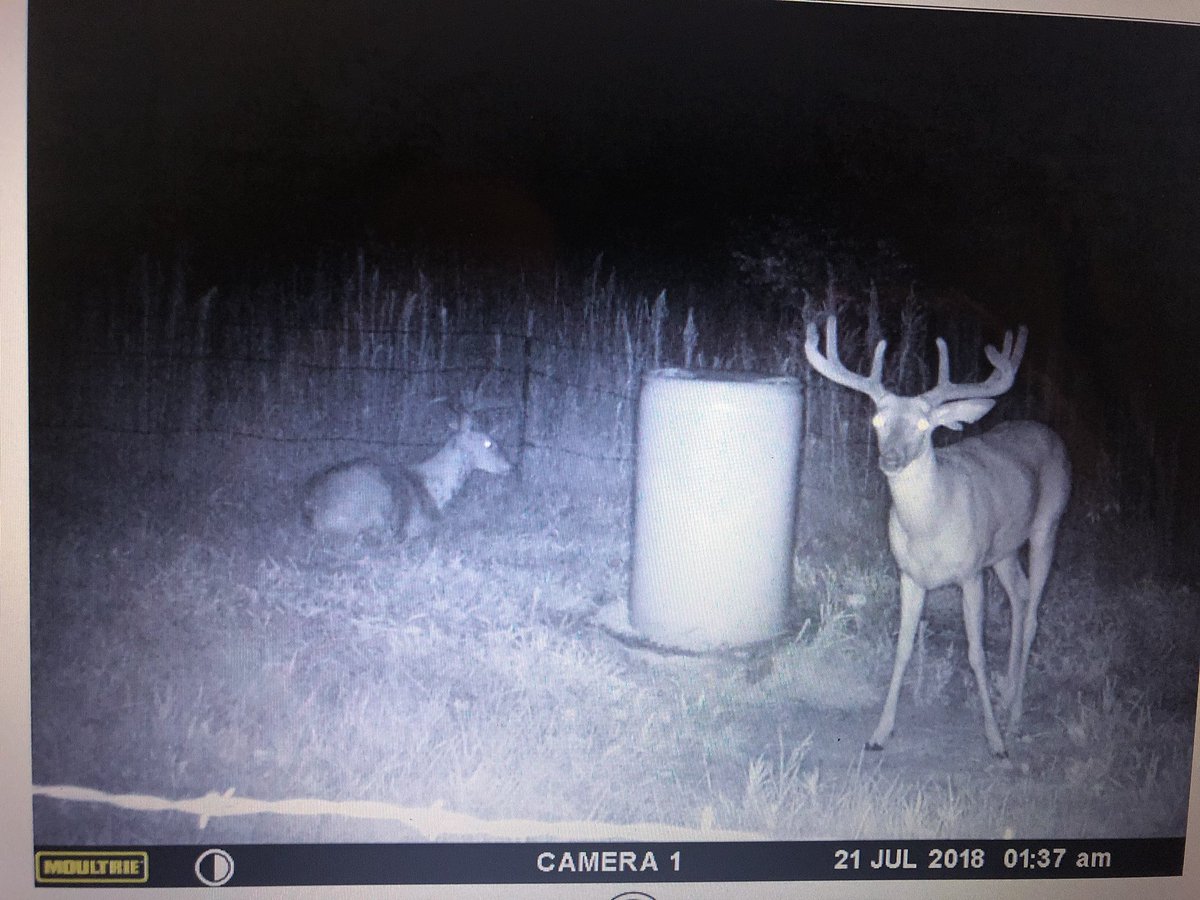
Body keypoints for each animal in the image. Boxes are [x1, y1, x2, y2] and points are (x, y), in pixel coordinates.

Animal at [805, 316, 1071, 758]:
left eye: (923, 424)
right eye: (877, 421)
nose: (891, 459)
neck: (929, 528)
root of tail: (1049, 433)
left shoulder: (970, 573)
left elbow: (976, 654)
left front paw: (994, 741)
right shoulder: (909, 575)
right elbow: (903, 648)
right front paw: (880, 733)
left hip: (1046, 524)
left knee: (1033, 610)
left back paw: (1014, 715)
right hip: (1001, 549)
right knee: (1019, 595)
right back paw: (1007, 695)